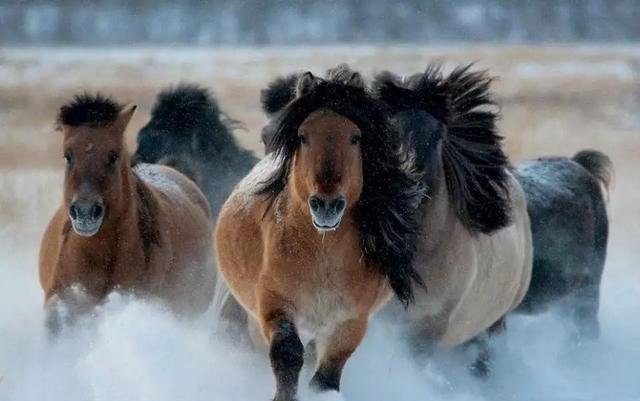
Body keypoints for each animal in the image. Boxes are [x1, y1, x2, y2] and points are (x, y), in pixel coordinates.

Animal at [215, 65, 425, 400]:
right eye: (303, 137)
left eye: (355, 137)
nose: (327, 205)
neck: (323, 256)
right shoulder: (275, 305)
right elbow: (287, 356)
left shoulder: (350, 321)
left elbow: (327, 375)